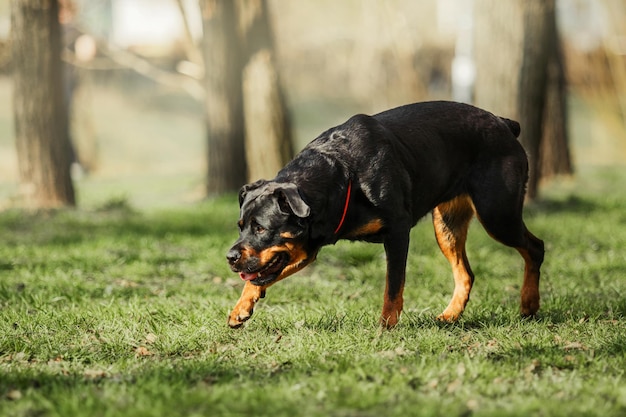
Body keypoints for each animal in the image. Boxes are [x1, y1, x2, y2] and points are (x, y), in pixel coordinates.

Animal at [224, 101, 540, 328]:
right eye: (240, 226)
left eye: (261, 228)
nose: (230, 256)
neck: (342, 175)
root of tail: (504, 124)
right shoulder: (307, 247)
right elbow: (258, 279)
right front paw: (241, 308)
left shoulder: (398, 231)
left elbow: (393, 284)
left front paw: (386, 326)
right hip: (447, 225)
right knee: (466, 273)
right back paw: (450, 316)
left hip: (497, 213)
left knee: (535, 248)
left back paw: (529, 304)